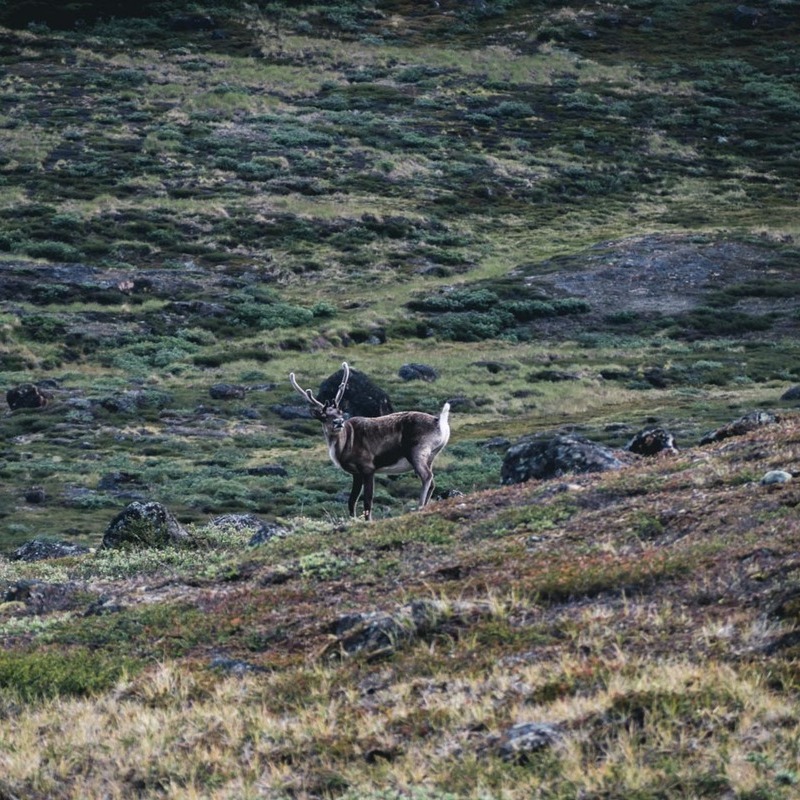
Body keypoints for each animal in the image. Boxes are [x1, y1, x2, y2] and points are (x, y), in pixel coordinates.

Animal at [289, 362, 450, 521]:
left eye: (340, 412)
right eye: (323, 416)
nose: (338, 422)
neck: (344, 445)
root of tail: (440, 422)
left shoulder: (367, 467)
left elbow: (367, 501)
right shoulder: (356, 473)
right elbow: (351, 501)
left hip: (417, 451)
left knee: (427, 476)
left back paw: (420, 507)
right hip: (431, 455)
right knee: (432, 482)